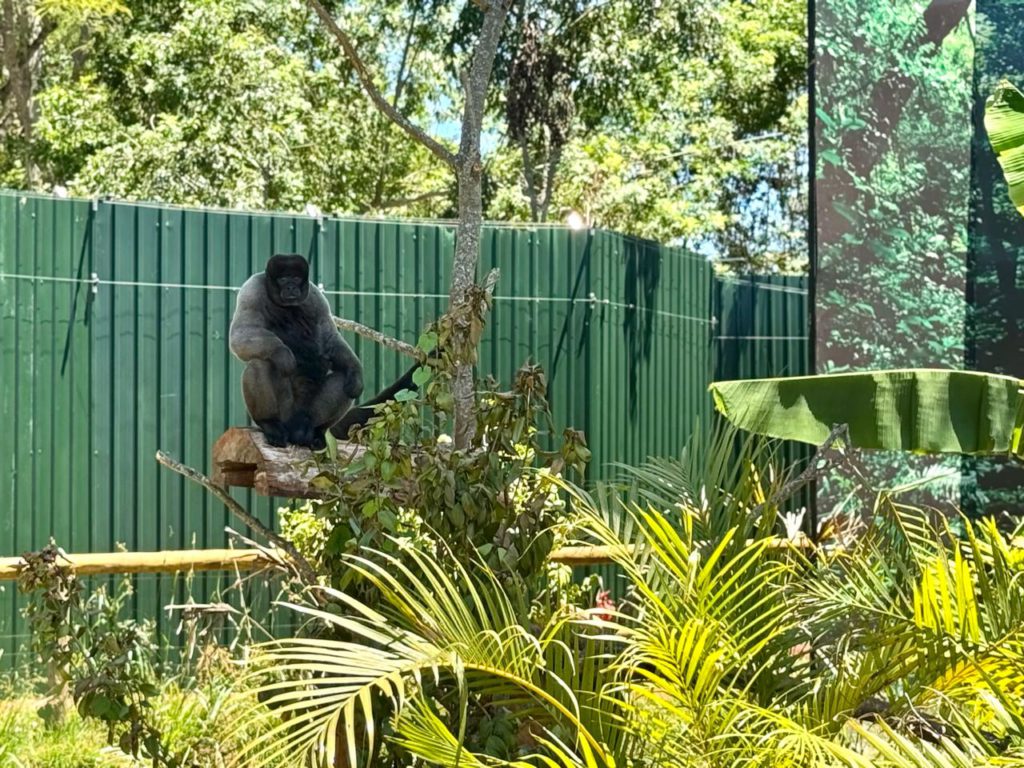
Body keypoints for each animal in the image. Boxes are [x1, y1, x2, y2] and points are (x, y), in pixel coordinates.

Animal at [229, 254, 363, 450]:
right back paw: (269, 423)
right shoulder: (251, 290)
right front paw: (283, 354)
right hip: (285, 410)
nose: (291, 287)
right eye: (283, 279)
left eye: (296, 278)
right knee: (260, 363)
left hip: (306, 413)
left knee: (345, 380)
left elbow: (329, 337)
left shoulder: (315, 296)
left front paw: (356, 370)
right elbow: (242, 331)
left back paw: (317, 431)